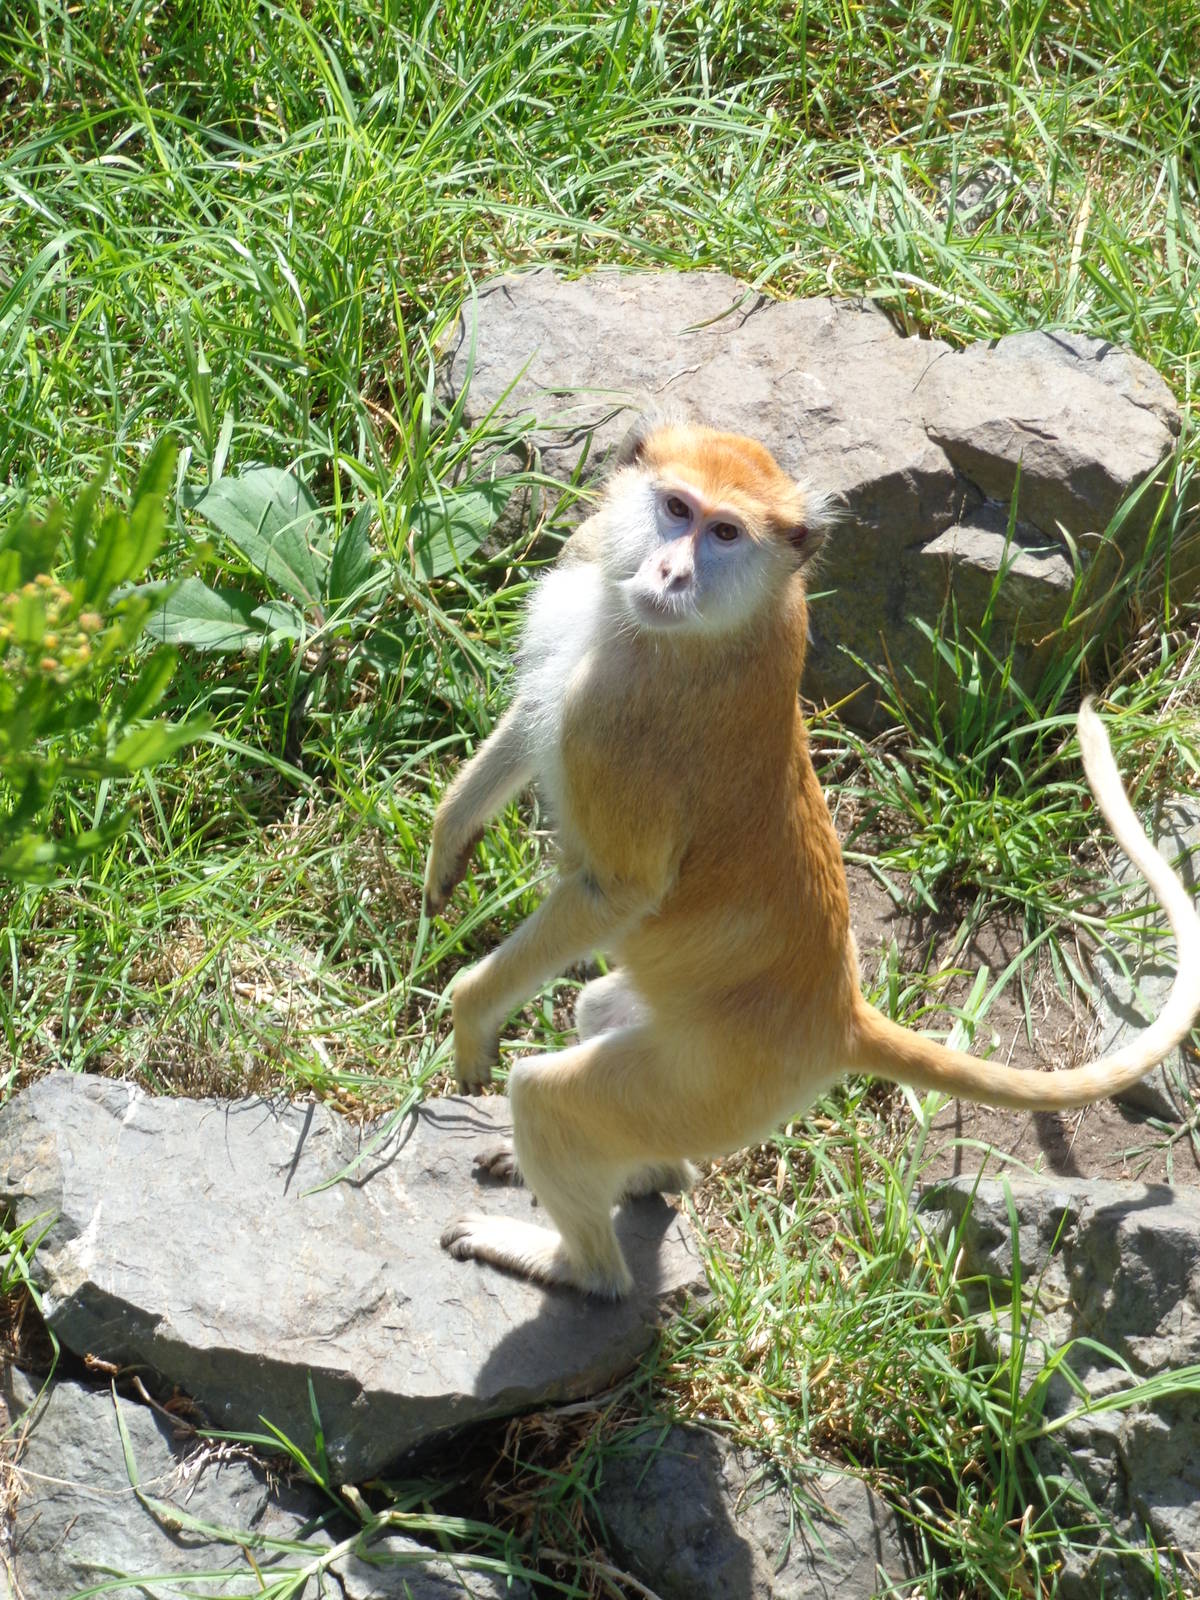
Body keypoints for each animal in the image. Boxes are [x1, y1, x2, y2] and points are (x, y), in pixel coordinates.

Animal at [423, 418, 1200, 1299]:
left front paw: (470, 1015)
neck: (730, 615)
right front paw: (451, 838)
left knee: (556, 1101)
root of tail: (838, 1016)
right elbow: (529, 720)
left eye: (725, 533)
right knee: (599, 1013)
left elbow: (616, 889)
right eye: (676, 508)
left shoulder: (624, 722)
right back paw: (651, 1175)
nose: (672, 571)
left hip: (721, 1086)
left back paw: (572, 1263)